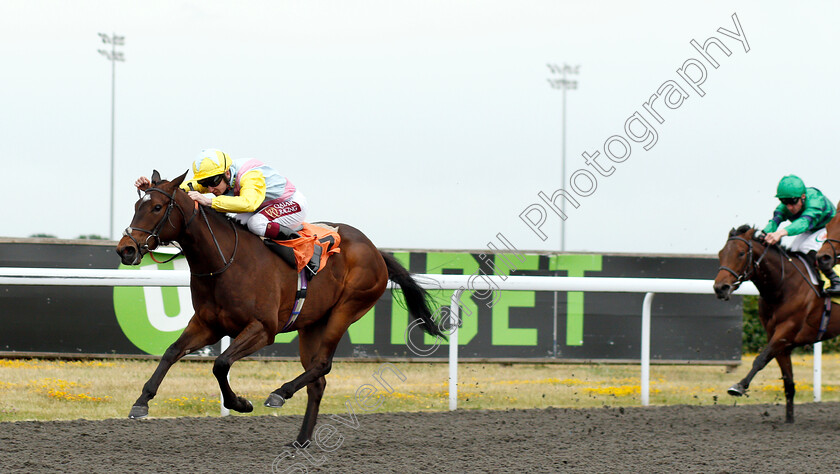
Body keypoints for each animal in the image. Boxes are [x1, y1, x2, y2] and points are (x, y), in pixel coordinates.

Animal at [120, 171, 446, 444]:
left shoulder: (263, 329)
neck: (224, 261)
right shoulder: (207, 325)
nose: (125, 249)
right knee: (318, 381)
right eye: (136, 205)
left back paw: (280, 393)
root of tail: (376, 251)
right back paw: (301, 440)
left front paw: (240, 403)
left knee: (322, 364)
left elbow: (221, 363)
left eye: (157, 208)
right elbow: (172, 352)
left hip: (346, 309)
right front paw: (141, 402)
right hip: (312, 324)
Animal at [708, 226, 840, 422]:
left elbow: (760, 359)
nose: (720, 288)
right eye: (721, 253)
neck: (783, 285)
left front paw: (739, 386)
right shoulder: (780, 340)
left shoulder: (785, 331)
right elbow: (788, 381)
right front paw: (789, 420)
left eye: (741, 253)